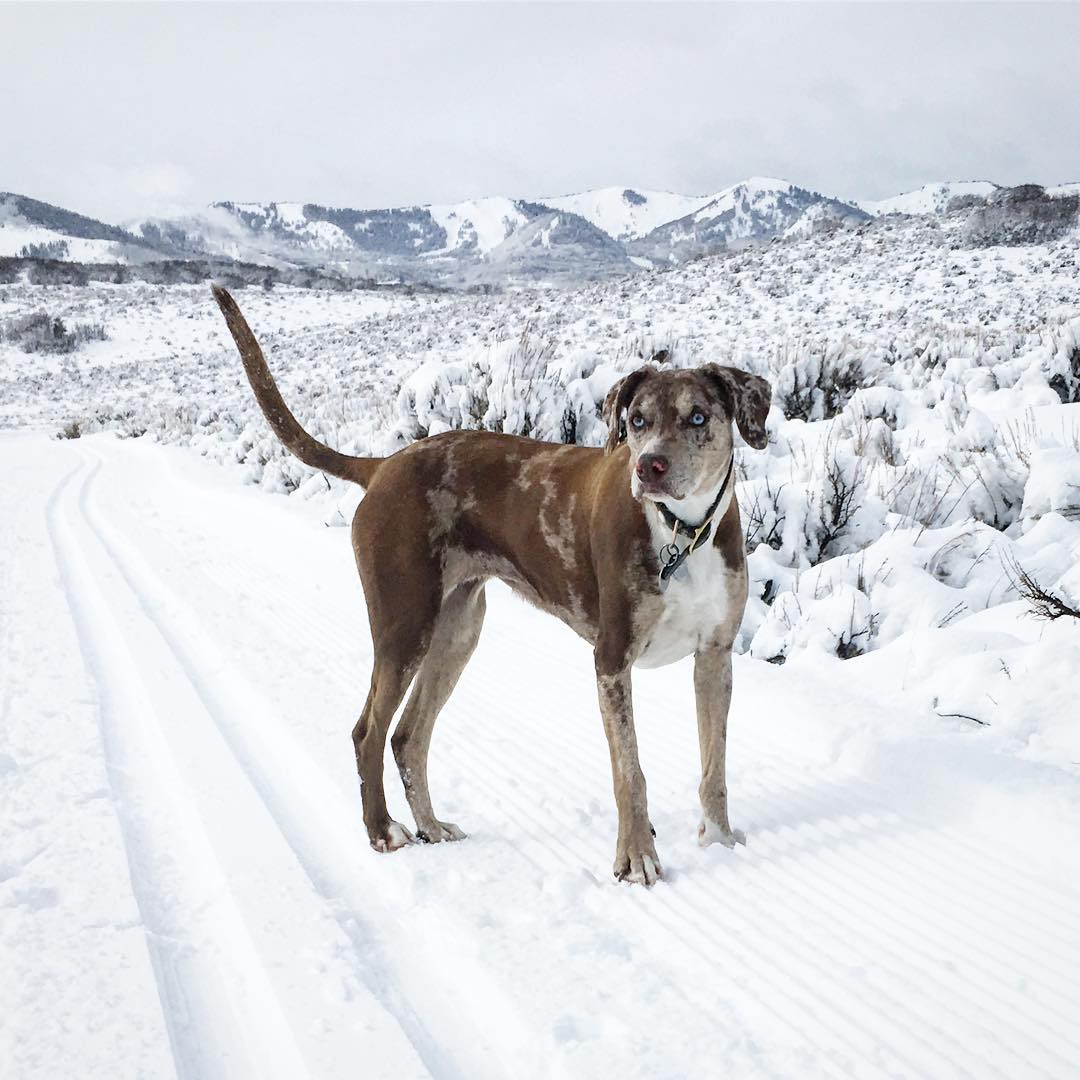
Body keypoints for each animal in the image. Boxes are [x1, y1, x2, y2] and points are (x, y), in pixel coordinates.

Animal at [212, 285, 768, 885]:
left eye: (697, 416)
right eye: (637, 420)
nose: (649, 467)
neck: (683, 533)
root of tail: (383, 466)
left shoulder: (715, 656)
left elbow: (714, 763)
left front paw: (720, 839)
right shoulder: (611, 659)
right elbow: (631, 772)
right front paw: (637, 857)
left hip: (457, 629)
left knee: (408, 736)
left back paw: (431, 826)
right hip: (404, 622)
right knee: (370, 730)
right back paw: (383, 831)